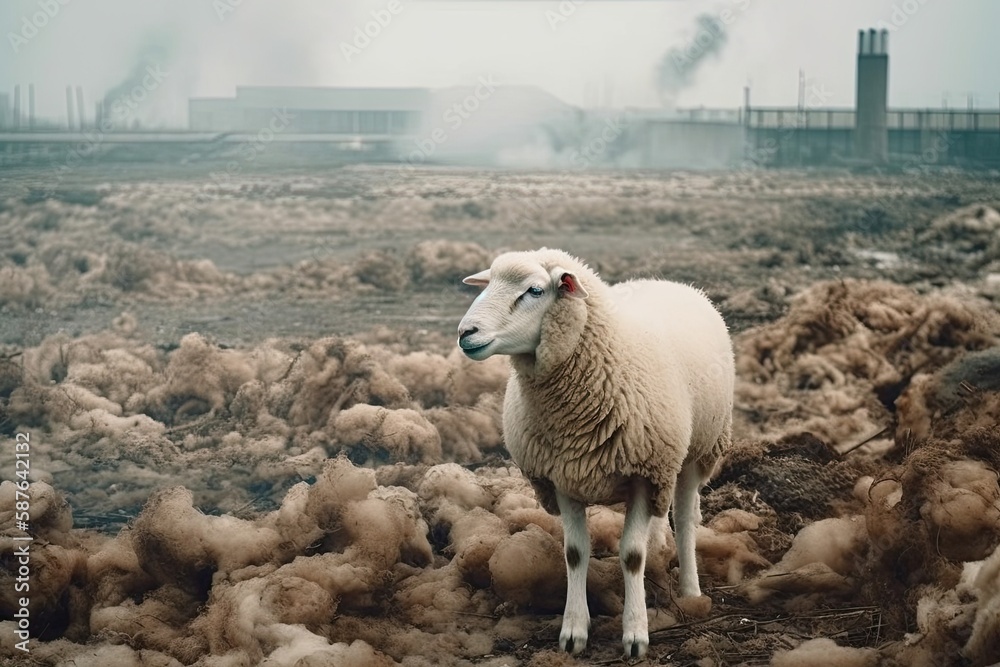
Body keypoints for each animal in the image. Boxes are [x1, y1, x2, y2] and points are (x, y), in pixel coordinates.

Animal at [456, 248, 736, 660]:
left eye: (534, 290)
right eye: (488, 283)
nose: (466, 333)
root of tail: (668, 282)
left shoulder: (642, 473)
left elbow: (631, 555)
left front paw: (635, 634)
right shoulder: (562, 476)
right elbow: (575, 552)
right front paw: (574, 631)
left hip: (697, 449)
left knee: (685, 518)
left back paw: (690, 590)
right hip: (666, 466)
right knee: (660, 516)